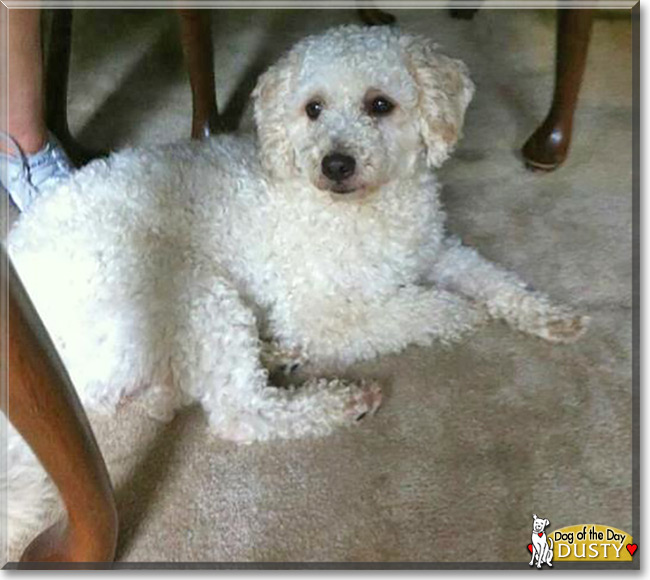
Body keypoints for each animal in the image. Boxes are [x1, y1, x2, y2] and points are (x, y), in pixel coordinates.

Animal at [5, 23, 584, 544]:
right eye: (314, 108)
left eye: (380, 104)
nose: (336, 163)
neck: (366, 208)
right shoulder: (321, 313)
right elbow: (414, 311)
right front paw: (460, 313)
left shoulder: (433, 250)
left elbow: (490, 278)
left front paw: (548, 315)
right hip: (198, 293)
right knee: (240, 411)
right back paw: (339, 399)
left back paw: (277, 353)